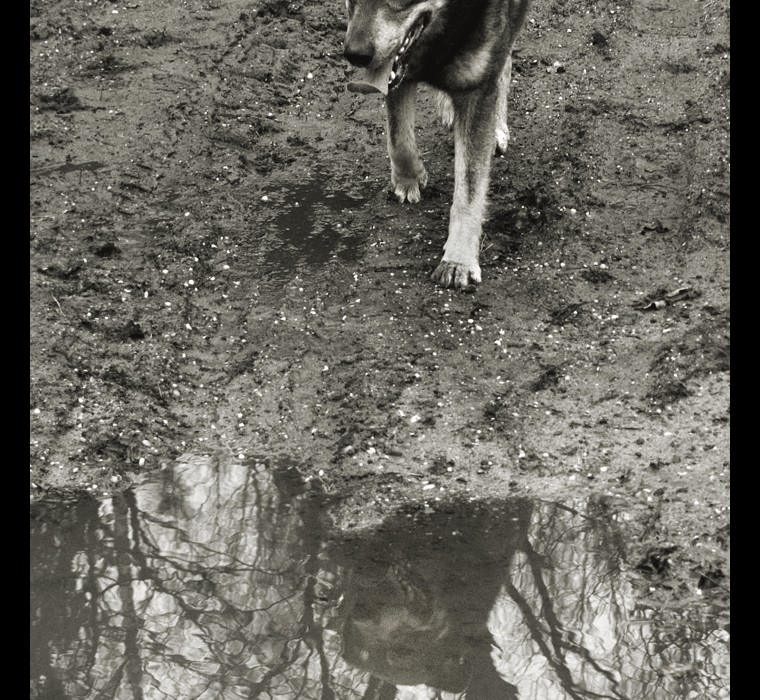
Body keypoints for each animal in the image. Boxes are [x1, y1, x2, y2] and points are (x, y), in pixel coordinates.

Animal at [342, 0, 528, 290]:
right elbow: (398, 137)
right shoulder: (399, 69)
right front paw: (409, 178)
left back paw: (496, 124)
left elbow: (469, 188)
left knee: (504, 59)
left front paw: (458, 260)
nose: (355, 55)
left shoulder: (477, 89)